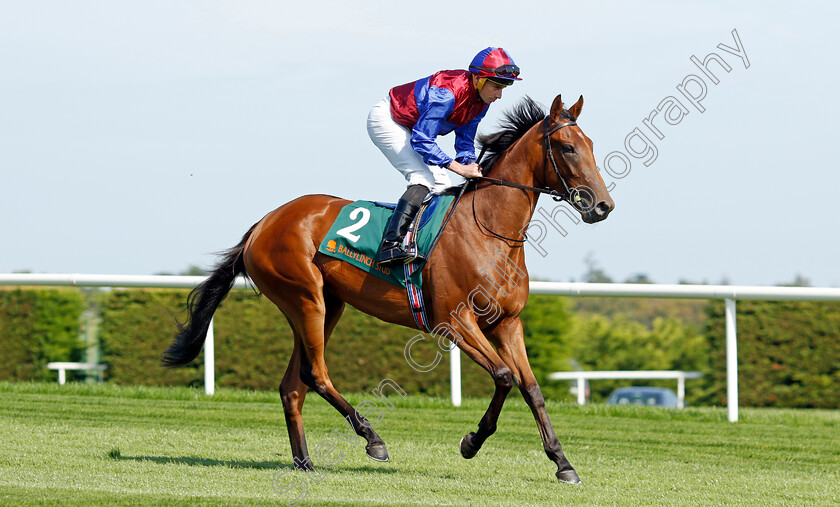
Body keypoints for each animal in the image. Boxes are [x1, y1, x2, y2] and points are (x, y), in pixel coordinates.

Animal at [161, 94, 612, 484]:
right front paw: (470, 442)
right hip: (306, 299)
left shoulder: (507, 322)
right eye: (568, 147)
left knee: (293, 385)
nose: (602, 205)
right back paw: (372, 439)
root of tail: (263, 223)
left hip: (326, 305)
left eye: (590, 145)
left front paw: (563, 463)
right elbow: (503, 376)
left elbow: (531, 388)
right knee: (315, 373)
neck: (489, 230)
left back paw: (305, 462)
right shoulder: (455, 321)